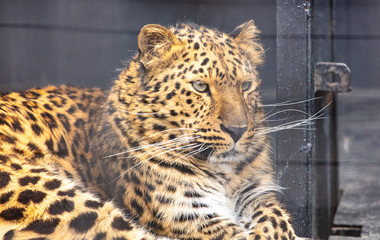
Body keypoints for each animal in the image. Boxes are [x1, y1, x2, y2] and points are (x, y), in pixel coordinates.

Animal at [0, 21, 296, 240]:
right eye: (200, 86)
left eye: (245, 86)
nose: (237, 130)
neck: (224, 173)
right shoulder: (187, 213)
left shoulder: (256, 193)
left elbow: (277, 218)